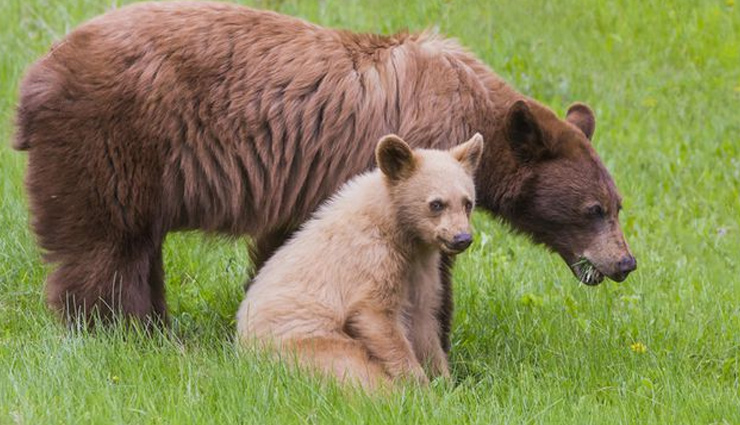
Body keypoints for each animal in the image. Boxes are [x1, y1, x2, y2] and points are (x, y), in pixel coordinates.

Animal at [13, 2, 636, 345]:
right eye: (593, 210)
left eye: (618, 204)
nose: (625, 263)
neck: (476, 113)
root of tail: (37, 75)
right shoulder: (402, 159)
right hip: (114, 140)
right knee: (106, 245)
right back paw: (121, 334)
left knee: (137, 247)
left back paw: (158, 330)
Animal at [237, 133, 483, 388]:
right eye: (436, 204)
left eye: (467, 202)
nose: (462, 238)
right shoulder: (371, 258)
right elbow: (375, 316)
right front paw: (418, 384)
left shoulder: (420, 269)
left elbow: (423, 321)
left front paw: (445, 381)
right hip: (308, 343)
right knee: (353, 368)